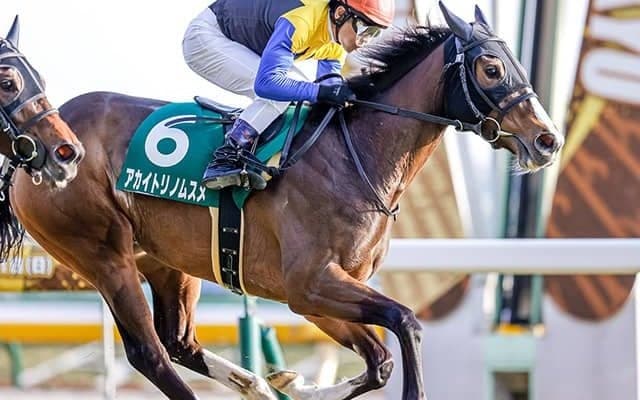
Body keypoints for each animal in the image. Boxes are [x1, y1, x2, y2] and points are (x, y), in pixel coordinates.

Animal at [1, 4, 563, 400]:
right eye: (491, 69)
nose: (548, 140)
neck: (355, 155)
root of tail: (39, 148)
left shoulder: (320, 292)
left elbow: (378, 360)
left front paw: (295, 384)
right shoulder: (309, 283)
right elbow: (406, 323)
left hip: (162, 260)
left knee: (179, 342)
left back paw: (253, 383)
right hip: (102, 253)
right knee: (149, 353)